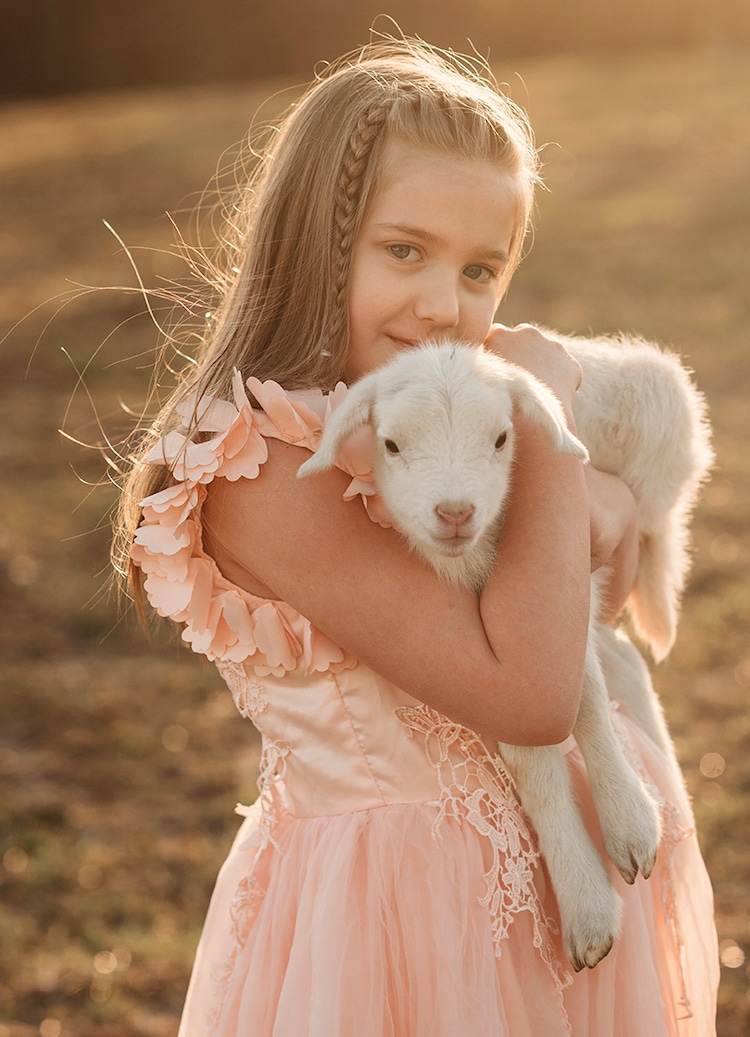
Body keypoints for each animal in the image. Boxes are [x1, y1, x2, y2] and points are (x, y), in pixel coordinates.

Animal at [296, 333, 713, 970]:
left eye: (500, 438)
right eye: (390, 444)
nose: (454, 512)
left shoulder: (573, 576)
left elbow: (585, 698)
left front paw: (629, 824)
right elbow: (533, 752)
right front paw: (588, 903)